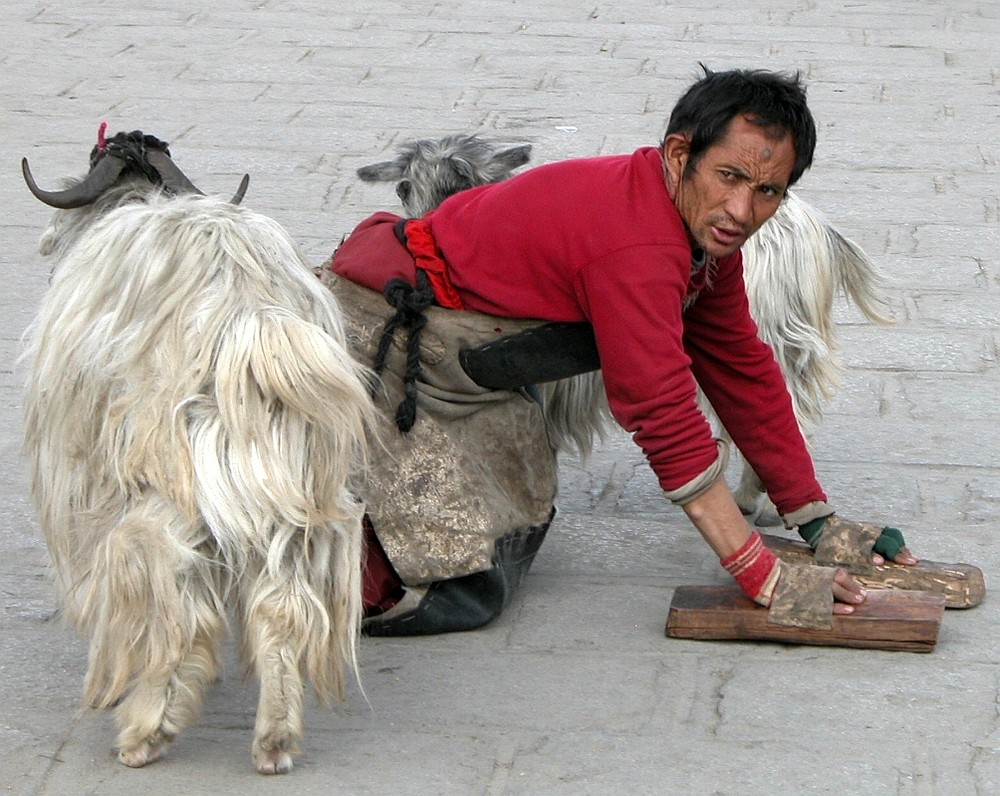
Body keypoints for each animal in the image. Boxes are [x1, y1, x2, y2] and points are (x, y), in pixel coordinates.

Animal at [23, 129, 376, 772]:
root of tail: (250, 323)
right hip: (294, 491)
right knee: (282, 606)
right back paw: (274, 739)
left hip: (170, 489)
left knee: (180, 604)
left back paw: (145, 732)